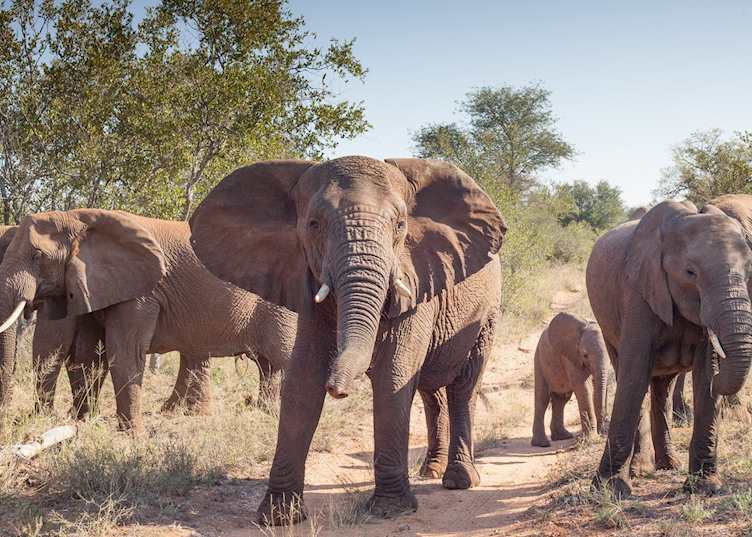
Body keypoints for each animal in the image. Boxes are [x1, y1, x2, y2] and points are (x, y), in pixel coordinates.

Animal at [0, 211, 297, 430]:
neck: (78, 217)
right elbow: (90, 355)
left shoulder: (142, 292)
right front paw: (81, 423)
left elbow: (124, 351)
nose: (20, 419)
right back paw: (264, 412)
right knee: (266, 364)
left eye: (37, 256)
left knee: (281, 358)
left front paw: (131, 435)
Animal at [188, 156, 506, 524]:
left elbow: (393, 377)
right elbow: (302, 380)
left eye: (400, 225)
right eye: (313, 224)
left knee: (463, 387)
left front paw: (390, 510)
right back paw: (431, 470)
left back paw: (459, 480)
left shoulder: (416, 280)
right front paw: (278, 517)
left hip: (487, 314)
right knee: (431, 390)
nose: (338, 390)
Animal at [531, 312, 609, 447]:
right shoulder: (570, 356)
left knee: (561, 399)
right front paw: (591, 438)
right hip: (539, 359)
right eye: (585, 355)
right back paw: (542, 444)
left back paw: (562, 436)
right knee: (542, 399)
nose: (602, 432)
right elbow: (583, 388)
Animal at [587, 200, 752, 499]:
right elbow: (634, 373)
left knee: (661, 388)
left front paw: (704, 486)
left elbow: (705, 371)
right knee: (635, 379)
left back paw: (668, 465)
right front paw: (609, 490)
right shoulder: (639, 290)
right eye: (690, 273)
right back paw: (641, 470)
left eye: (749, 272)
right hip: (607, 327)